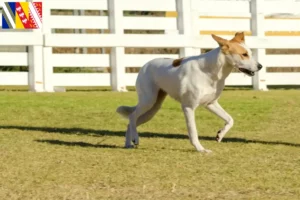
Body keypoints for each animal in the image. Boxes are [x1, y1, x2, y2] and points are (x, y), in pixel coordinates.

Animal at [116, 32, 262, 152]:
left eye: (250, 53)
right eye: (244, 54)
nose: (260, 66)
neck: (210, 71)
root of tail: (145, 65)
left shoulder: (211, 104)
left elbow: (230, 120)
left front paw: (220, 135)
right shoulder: (188, 107)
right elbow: (193, 131)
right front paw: (201, 149)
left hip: (152, 110)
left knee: (130, 122)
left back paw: (128, 144)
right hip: (148, 101)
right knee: (132, 116)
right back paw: (135, 138)